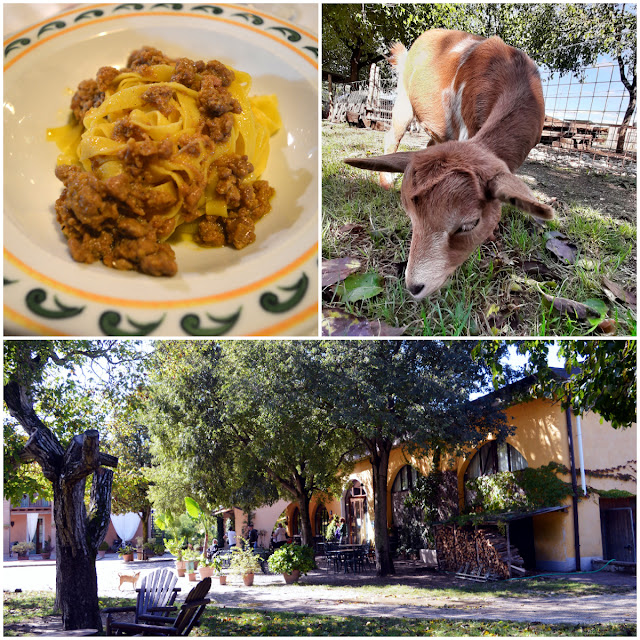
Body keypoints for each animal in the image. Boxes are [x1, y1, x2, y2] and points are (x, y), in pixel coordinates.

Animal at [344, 28, 556, 298]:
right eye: (410, 216)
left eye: (469, 225)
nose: (414, 286)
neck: (517, 74)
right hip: (404, 99)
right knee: (392, 135)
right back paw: (385, 183)